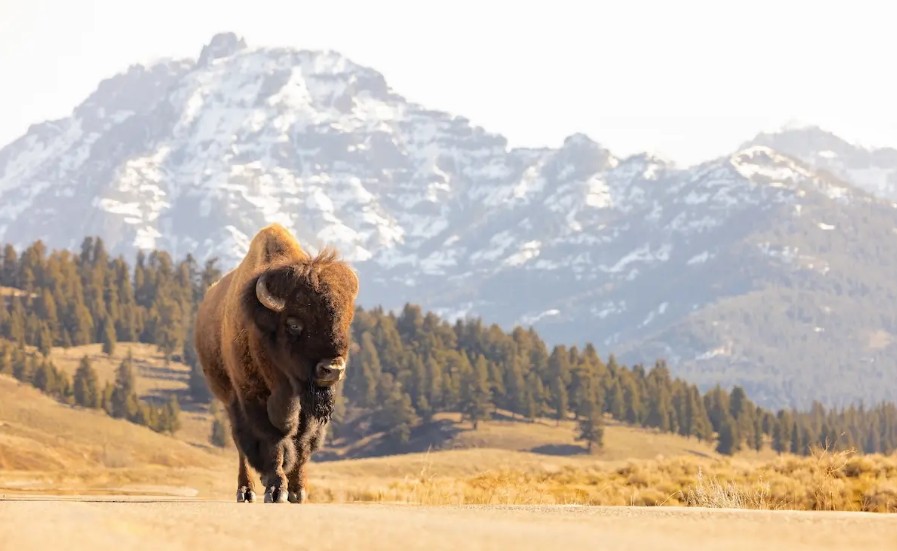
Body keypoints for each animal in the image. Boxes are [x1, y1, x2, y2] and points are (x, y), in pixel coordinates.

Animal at [194, 223, 359, 503]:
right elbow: (273, 440)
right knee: (241, 445)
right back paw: (246, 491)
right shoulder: (253, 398)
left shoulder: (308, 406)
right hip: (229, 400)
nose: (332, 369)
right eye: (293, 324)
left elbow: (302, 443)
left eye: (344, 322)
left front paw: (298, 490)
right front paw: (276, 489)